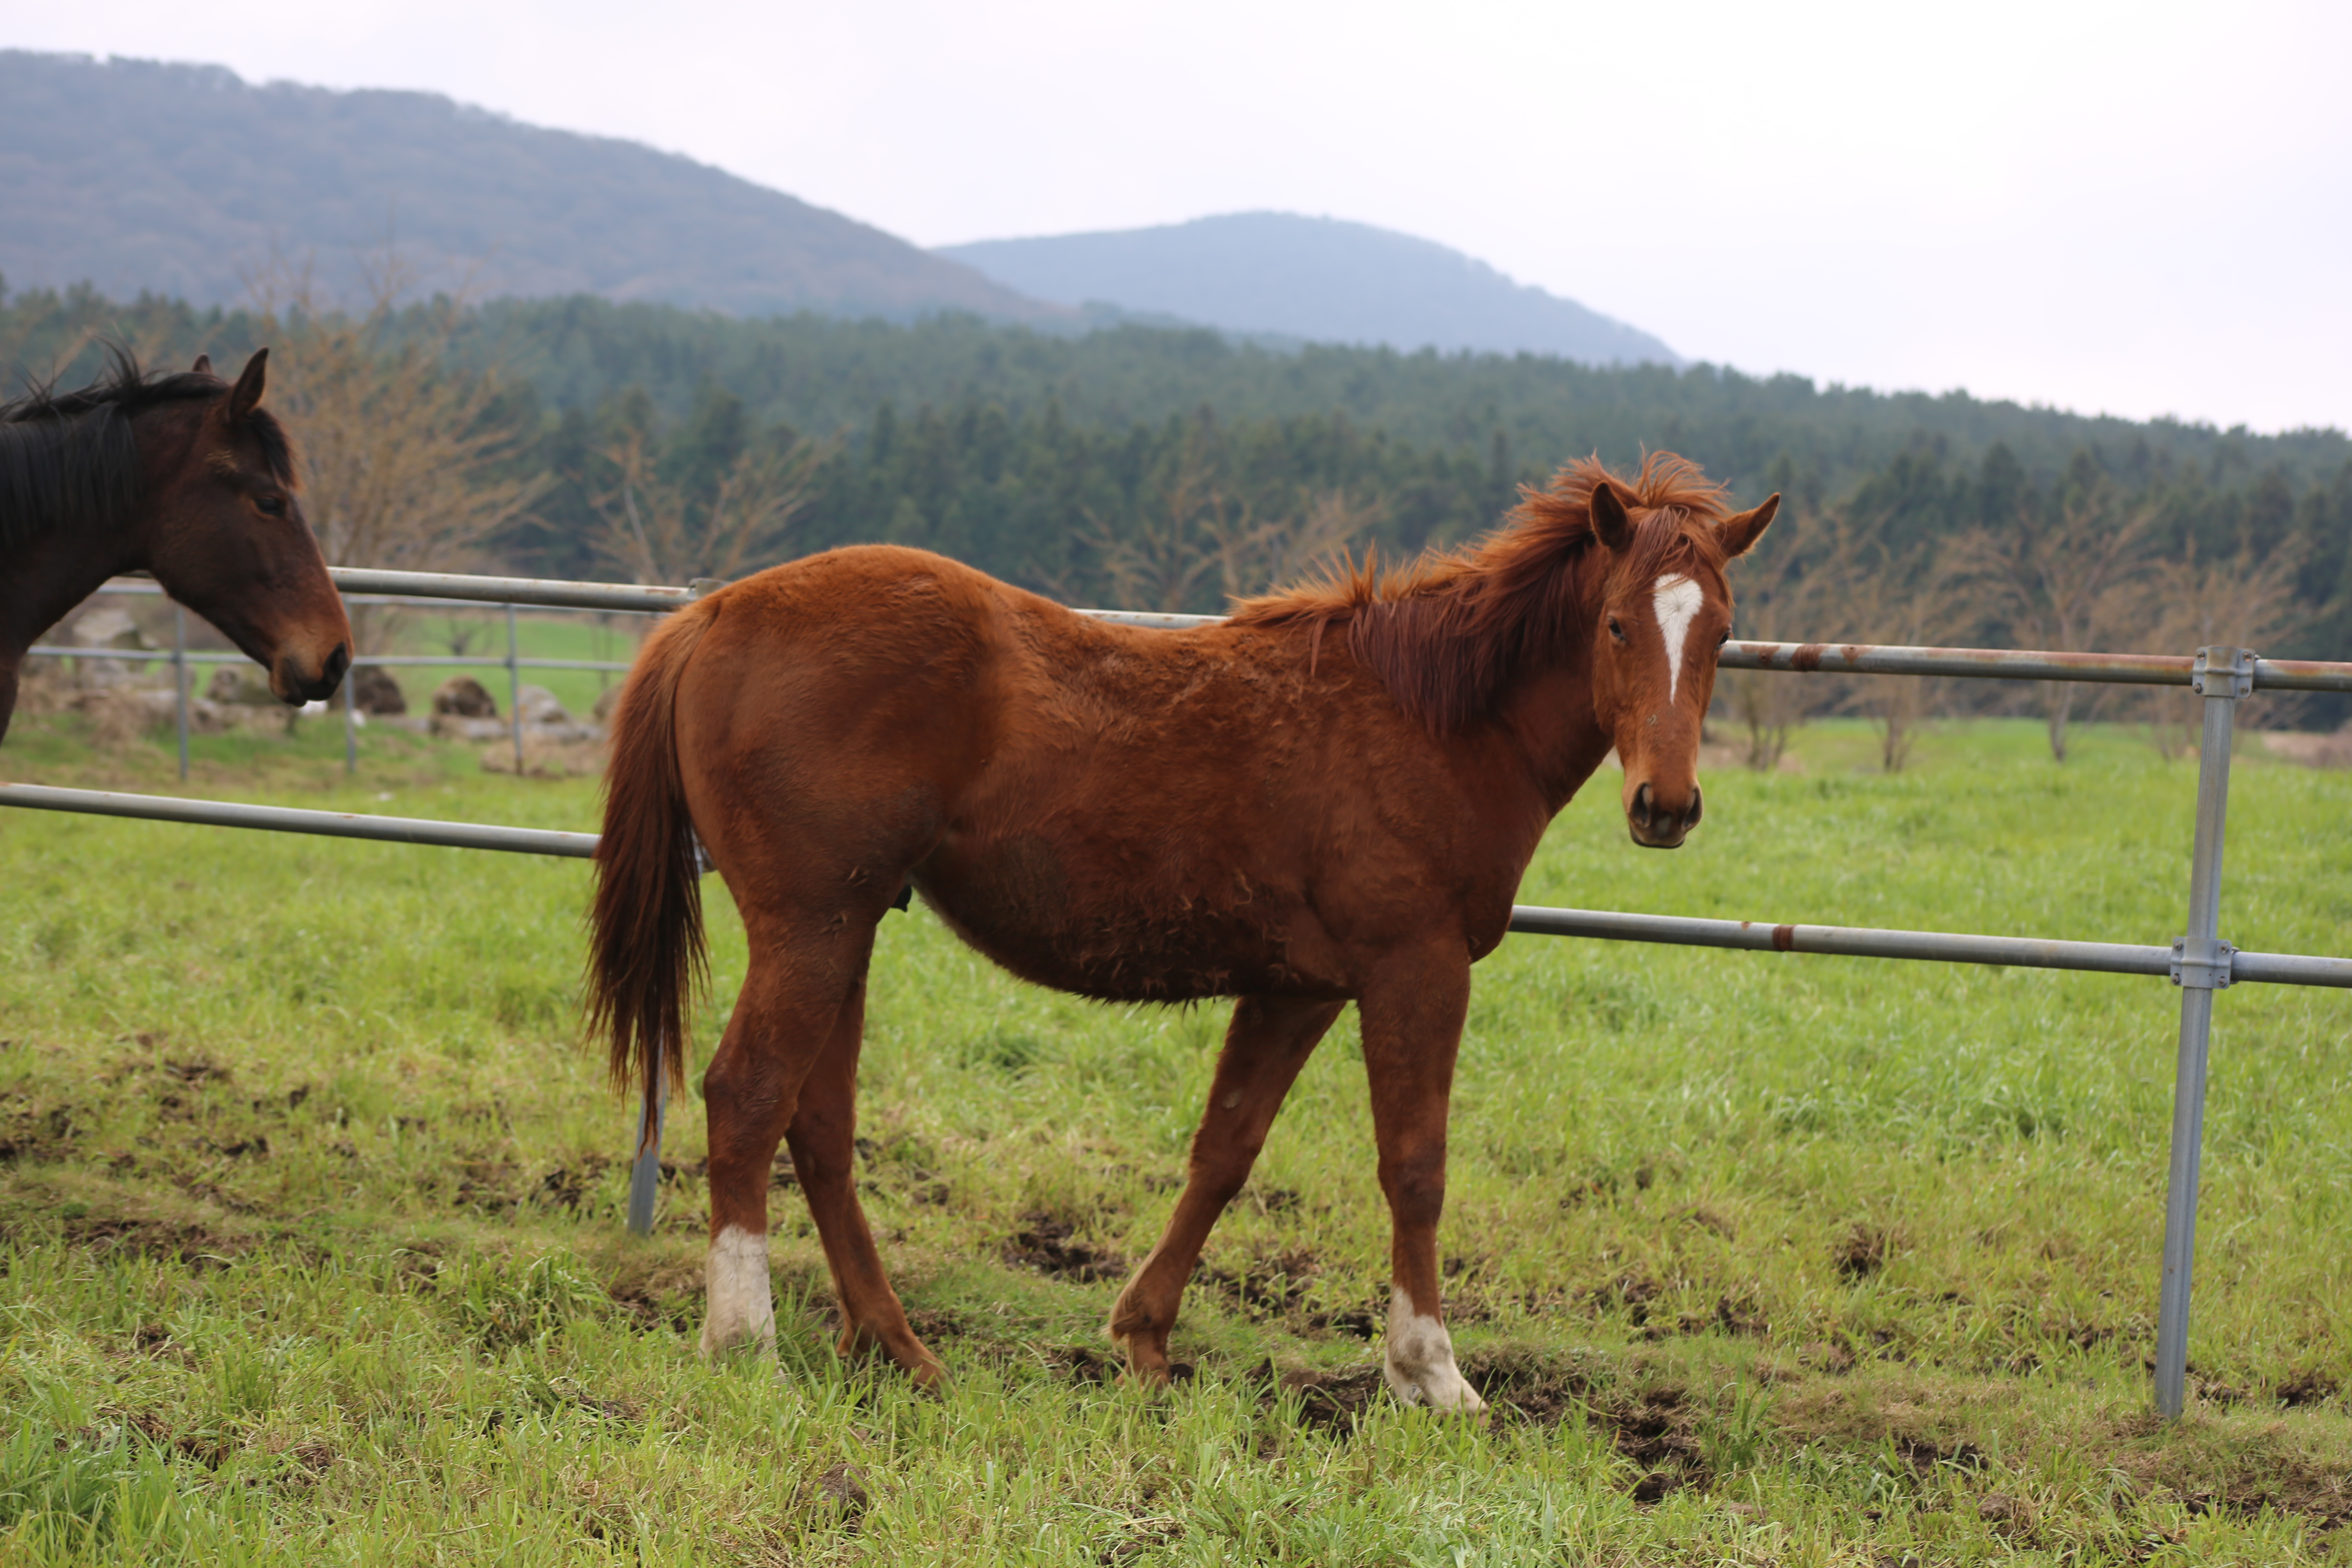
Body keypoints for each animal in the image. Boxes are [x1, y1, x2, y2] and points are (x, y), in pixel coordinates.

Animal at [583, 454, 1768, 1410]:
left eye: (1719, 633)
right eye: (1616, 624)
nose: (1665, 805)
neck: (1432, 718)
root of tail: (712, 614)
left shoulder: (1297, 987)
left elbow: (1224, 1153)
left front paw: (1144, 1341)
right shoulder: (1413, 969)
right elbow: (1414, 1166)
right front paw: (1431, 1374)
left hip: (849, 931)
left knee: (819, 1125)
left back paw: (898, 1349)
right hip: (811, 927)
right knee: (748, 1097)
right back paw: (746, 1343)